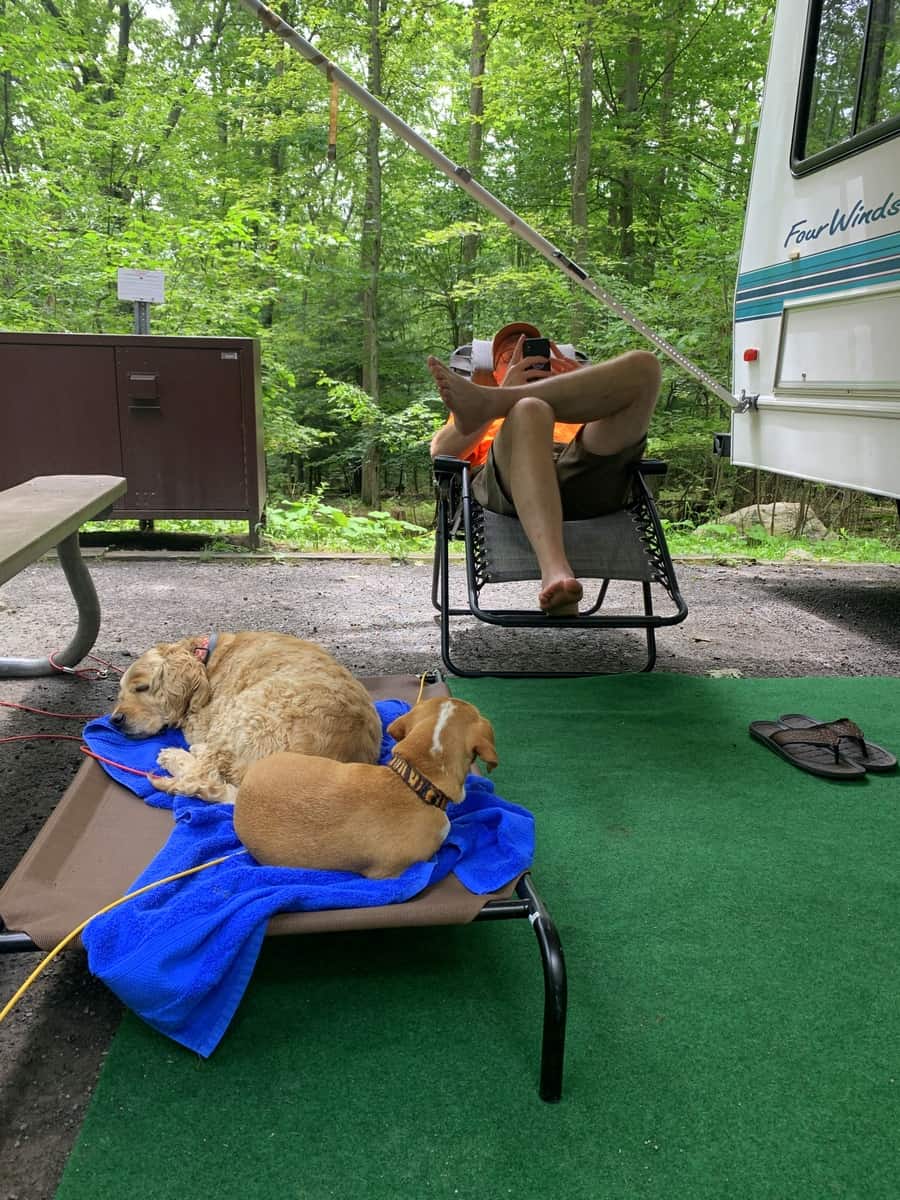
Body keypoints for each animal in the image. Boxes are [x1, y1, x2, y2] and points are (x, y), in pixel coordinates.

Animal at [112, 633, 381, 801]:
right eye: (121, 692)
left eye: (142, 687)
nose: (114, 720)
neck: (205, 658)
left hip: (250, 710)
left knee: (204, 772)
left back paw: (174, 756)